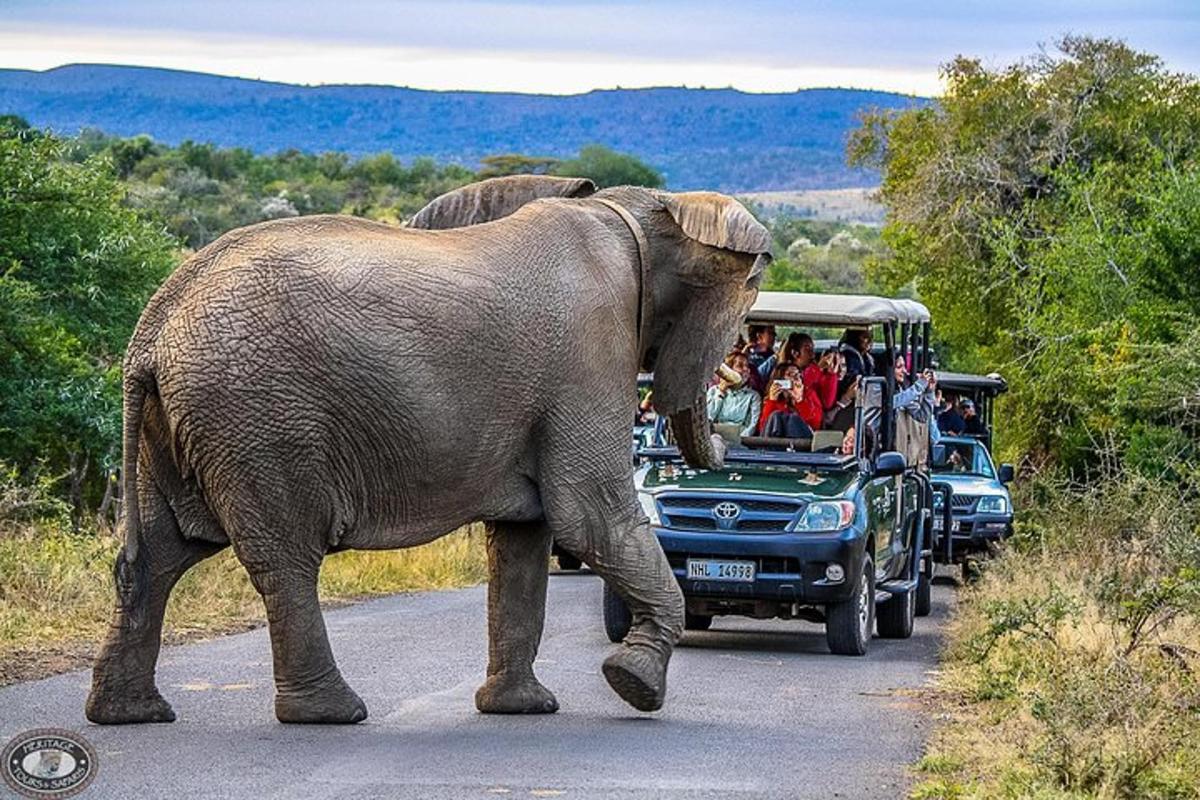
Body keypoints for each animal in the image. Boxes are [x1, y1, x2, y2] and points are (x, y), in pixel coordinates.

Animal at [84, 173, 768, 724]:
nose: (735, 447)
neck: (639, 212)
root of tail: (153, 326)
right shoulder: (592, 354)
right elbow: (590, 514)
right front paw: (633, 685)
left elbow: (525, 539)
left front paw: (521, 710)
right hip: (260, 419)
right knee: (284, 558)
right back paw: (331, 714)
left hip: (187, 423)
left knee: (160, 555)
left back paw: (130, 714)